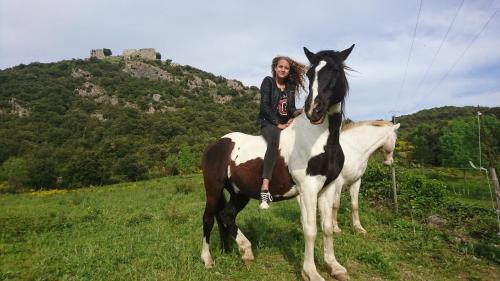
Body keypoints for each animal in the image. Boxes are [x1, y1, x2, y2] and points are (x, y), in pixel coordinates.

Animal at [201, 44, 354, 278]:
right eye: (310, 74)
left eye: (335, 70)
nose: (313, 110)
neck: (319, 139)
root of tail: (215, 145)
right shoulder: (308, 188)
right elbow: (310, 230)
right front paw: (311, 272)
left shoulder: (327, 187)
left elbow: (327, 227)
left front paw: (334, 267)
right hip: (213, 188)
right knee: (209, 218)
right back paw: (208, 259)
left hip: (240, 192)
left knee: (226, 215)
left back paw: (241, 252)